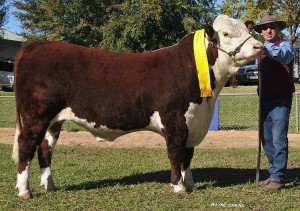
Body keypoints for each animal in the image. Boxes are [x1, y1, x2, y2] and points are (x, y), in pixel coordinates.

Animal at [12, 14, 262, 198]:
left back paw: (50, 185)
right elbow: (176, 153)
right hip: (37, 115)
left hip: (54, 120)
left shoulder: (192, 120)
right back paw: (25, 191)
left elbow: (188, 155)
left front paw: (190, 183)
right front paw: (178, 186)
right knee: (26, 146)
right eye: (226, 34)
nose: (259, 46)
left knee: (45, 148)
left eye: (246, 29)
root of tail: (32, 46)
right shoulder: (174, 120)